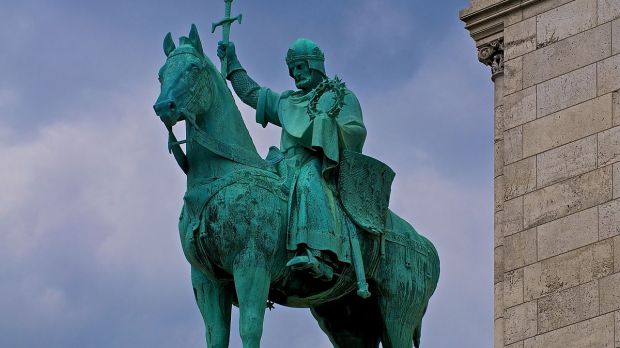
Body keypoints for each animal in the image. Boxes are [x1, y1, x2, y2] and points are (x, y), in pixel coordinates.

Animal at [153, 25, 438, 348]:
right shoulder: (206, 280)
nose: (164, 107)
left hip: (397, 309)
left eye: (193, 68)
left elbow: (250, 329)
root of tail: (424, 244)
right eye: (161, 74)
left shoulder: (251, 265)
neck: (220, 177)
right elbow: (215, 336)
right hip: (345, 317)